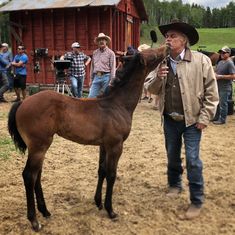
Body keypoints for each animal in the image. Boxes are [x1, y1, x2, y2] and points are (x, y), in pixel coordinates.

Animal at [7, 46, 167, 231]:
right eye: (153, 55)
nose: (167, 48)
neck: (117, 104)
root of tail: (22, 103)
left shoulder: (104, 145)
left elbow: (101, 170)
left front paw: (98, 202)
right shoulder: (116, 145)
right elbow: (112, 174)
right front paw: (110, 210)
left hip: (38, 148)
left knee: (36, 176)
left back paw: (45, 211)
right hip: (39, 147)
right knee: (29, 176)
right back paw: (34, 220)